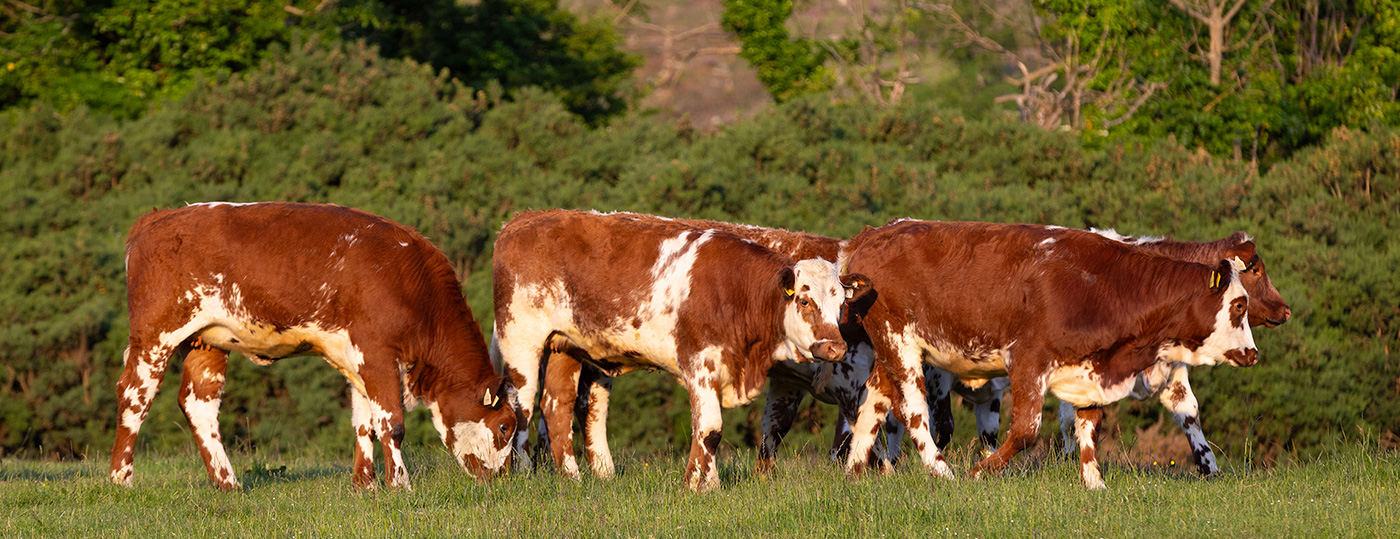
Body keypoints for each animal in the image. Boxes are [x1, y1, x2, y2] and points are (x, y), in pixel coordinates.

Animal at [109, 202, 518, 490]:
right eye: (505, 427)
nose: (504, 479)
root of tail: (159, 218)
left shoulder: (355, 357)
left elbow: (364, 423)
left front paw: (365, 484)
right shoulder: (377, 351)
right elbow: (392, 423)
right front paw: (400, 484)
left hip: (208, 339)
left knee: (200, 403)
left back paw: (228, 483)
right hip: (155, 332)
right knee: (134, 395)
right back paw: (121, 479)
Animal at [489, 210, 869, 491]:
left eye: (840, 304)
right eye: (804, 300)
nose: (835, 347)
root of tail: (522, 219)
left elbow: (707, 430)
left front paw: (708, 483)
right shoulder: (700, 363)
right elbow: (710, 429)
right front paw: (696, 486)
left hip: (565, 345)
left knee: (557, 405)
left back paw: (572, 476)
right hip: (521, 341)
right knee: (522, 405)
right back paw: (522, 472)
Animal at [840, 219, 1258, 489]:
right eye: (1239, 305)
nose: (1252, 353)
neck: (1100, 284)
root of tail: (873, 235)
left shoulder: (1090, 368)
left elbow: (1089, 426)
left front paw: (1094, 483)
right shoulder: (1027, 361)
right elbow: (1026, 431)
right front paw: (981, 471)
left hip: (889, 348)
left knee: (874, 398)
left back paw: (855, 469)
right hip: (899, 341)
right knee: (912, 410)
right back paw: (941, 470)